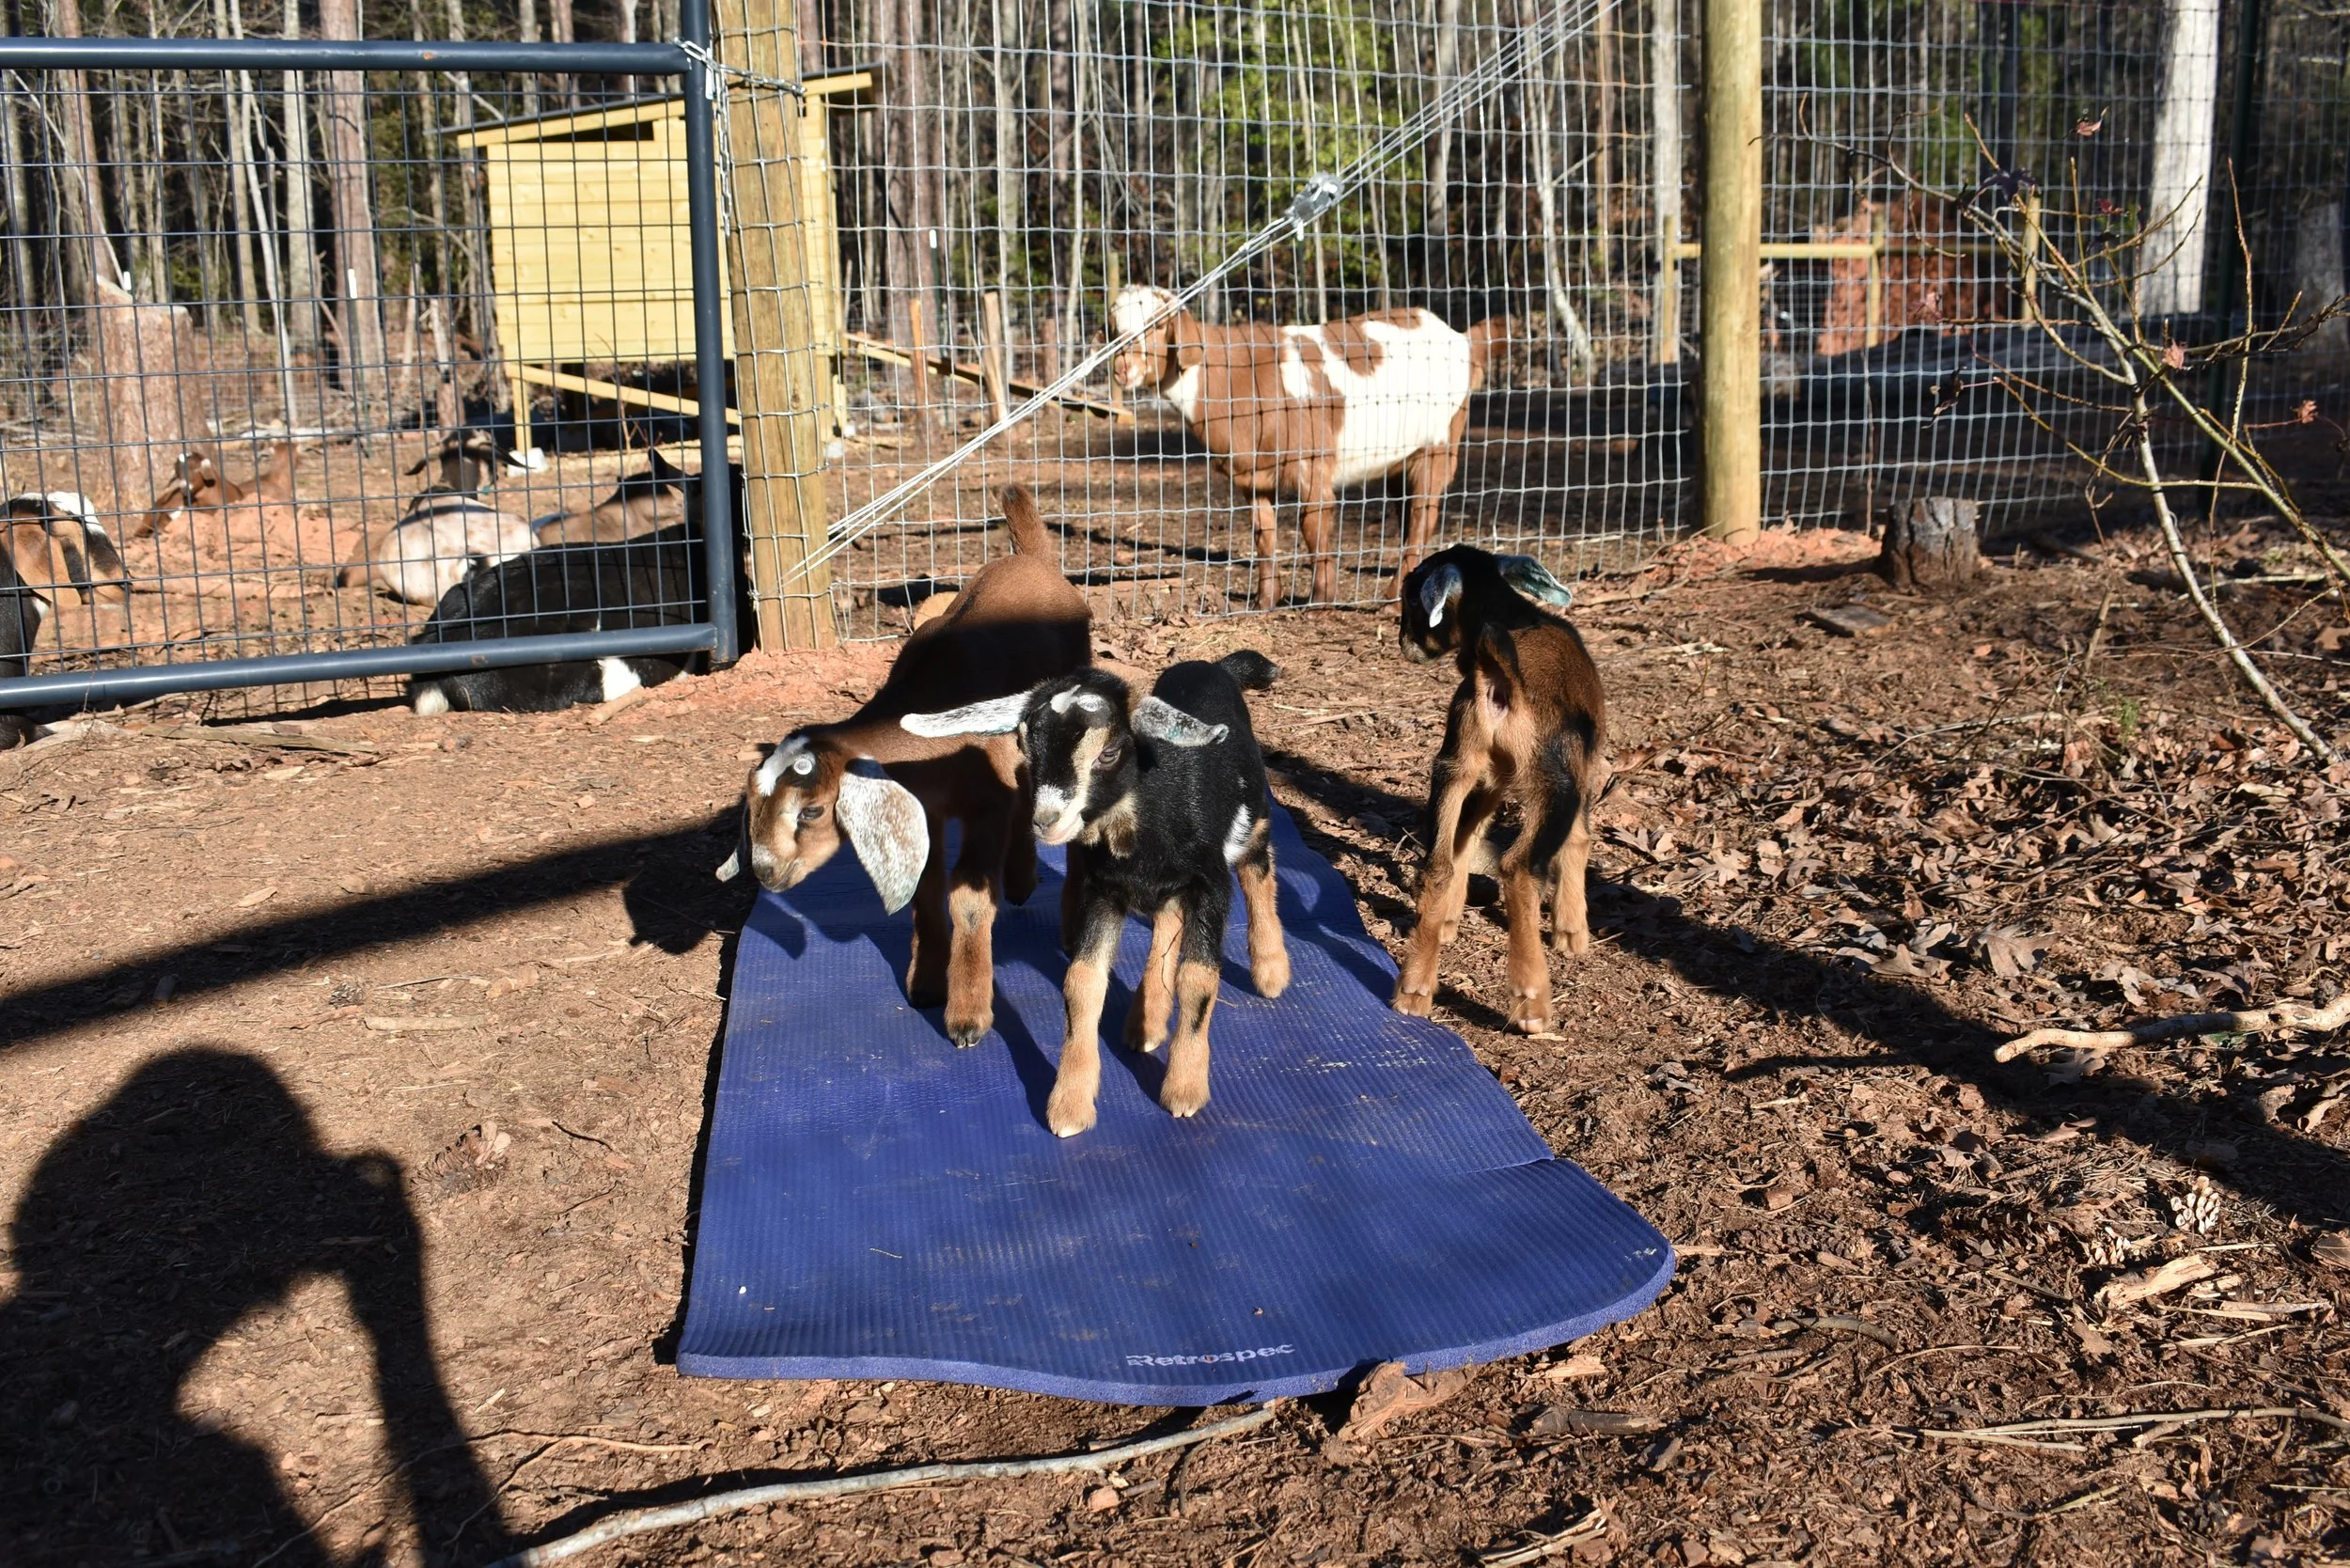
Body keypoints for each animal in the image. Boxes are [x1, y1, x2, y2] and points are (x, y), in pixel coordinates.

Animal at [721, 483, 1092, 1049]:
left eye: (811, 811)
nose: (765, 872)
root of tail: (1034, 560)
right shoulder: (924, 807)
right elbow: (925, 890)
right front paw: (925, 985)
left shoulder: (985, 804)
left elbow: (967, 897)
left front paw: (967, 1016)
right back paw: (1020, 879)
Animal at [902, 650, 1288, 1137]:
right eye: (1024, 747)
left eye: (1108, 752)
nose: (1046, 821)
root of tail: (1216, 666)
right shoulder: (1104, 892)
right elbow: (1082, 982)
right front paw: (1070, 1105)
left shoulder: (1210, 885)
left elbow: (1198, 980)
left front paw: (1185, 1091)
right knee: (1167, 919)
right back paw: (1146, 1021)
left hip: (1253, 815)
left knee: (1259, 870)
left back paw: (1271, 971)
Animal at [1110, 284, 1505, 609]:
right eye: (1114, 328)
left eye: (1157, 325)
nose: (1121, 367)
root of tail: (1462, 339)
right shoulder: (1253, 473)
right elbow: (1263, 533)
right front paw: (1265, 602)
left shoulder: (1311, 460)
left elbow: (1312, 524)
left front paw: (1318, 602)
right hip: (1402, 456)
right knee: (1408, 513)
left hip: (1439, 440)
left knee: (1424, 513)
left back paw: (1392, 603)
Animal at [1392, 545, 1603, 1035]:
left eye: (1411, 597)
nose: (1402, 641)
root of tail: (1499, 677)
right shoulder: (1581, 769)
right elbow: (1579, 840)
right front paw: (1572, 931)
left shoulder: (1484, 776)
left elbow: (1466, 837)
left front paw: (1449, 919)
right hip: (1555, 782)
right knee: (1519, 867)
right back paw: (1532, 1002)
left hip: (1455, 762)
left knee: (1438, 863)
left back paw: (1414, 989)